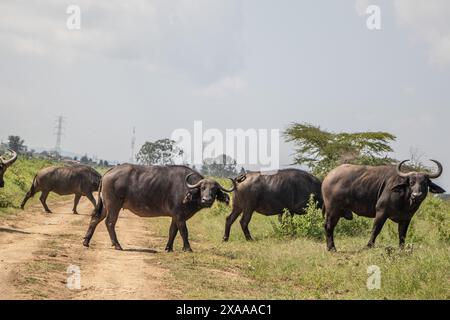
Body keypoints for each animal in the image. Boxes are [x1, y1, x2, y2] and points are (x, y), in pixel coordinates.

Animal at [82, 165, 234, 252]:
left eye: (214, 190)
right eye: (202, 188)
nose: (207, 200)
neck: (188, 190)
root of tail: (108, 173)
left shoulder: (175, 217)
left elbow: (172, 232)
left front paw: (168, 248)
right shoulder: (180, 216)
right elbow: (184, 232)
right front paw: (188, 248)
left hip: (105, 205)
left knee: (95, 219)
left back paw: (86, 241)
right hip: (114, 205)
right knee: (110, 222)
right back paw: (117, 245)